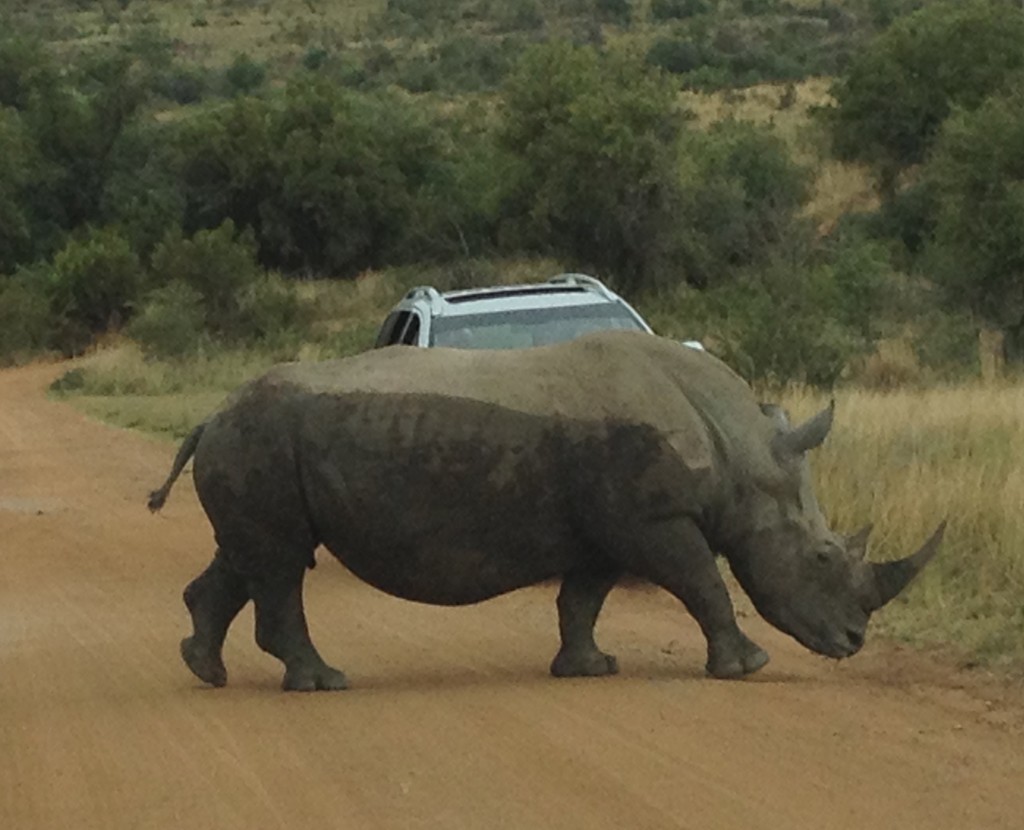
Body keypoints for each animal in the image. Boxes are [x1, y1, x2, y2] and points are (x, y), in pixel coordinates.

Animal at [149, 330, 944, 691]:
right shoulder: (653, 522)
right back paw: (324, 683)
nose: (853, 641)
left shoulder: (609, 532)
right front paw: (747, 666)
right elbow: (706, 586)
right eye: (822, 556)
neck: (738, 451)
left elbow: (581, 600)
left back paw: (205, 669)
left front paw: (590, 668)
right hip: (260, 440)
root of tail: (210, 416)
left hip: (255, 446)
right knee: (281, 563)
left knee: (253, 557)